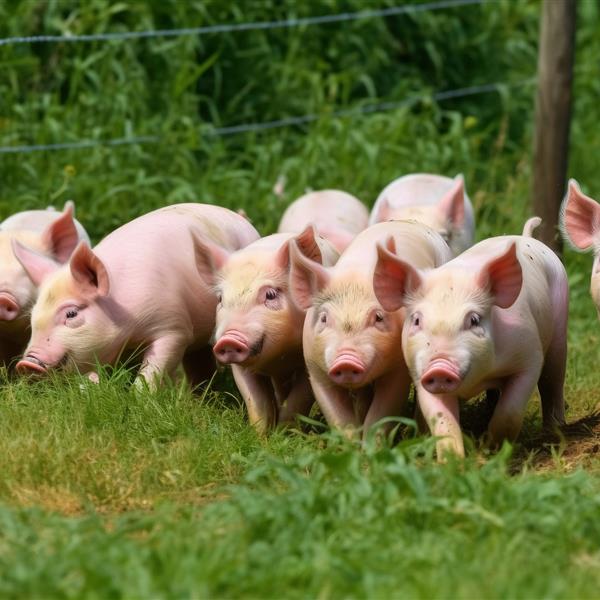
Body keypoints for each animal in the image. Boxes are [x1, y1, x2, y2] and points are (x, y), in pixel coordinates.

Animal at [13, 204, 260, 388]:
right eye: (33, 318)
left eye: (71, 313)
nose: (26, 362)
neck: (130, 327)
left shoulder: (174, 327)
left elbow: (153, 371)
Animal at [211, 227, 339, 433]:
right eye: (220, 299)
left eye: (270, 295)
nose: (228, 339)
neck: (280, 357)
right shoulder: (240, 368)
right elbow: (257, 401)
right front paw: (260, 435)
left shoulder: (308, 359)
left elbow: (299, 399)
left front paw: (283, 432)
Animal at [289, 220, 453, 436]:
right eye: (324, 318)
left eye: (378, 317)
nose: (346, 361)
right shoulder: (315, 370)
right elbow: (339, 417)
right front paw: (351, 442)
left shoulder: (398, 369)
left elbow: (382, 412)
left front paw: (371, 444)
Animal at [372, 230, 568, 458]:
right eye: (417, 320)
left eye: (474, 320)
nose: (439, 367)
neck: (477, 379)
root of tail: (525, 237)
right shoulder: (419, 373)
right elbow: (442, 420)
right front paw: (452, 460)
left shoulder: (529, 356)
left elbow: (510, 412)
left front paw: (490, 450)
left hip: (559, 330)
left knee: (553, 381)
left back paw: (555, 429)